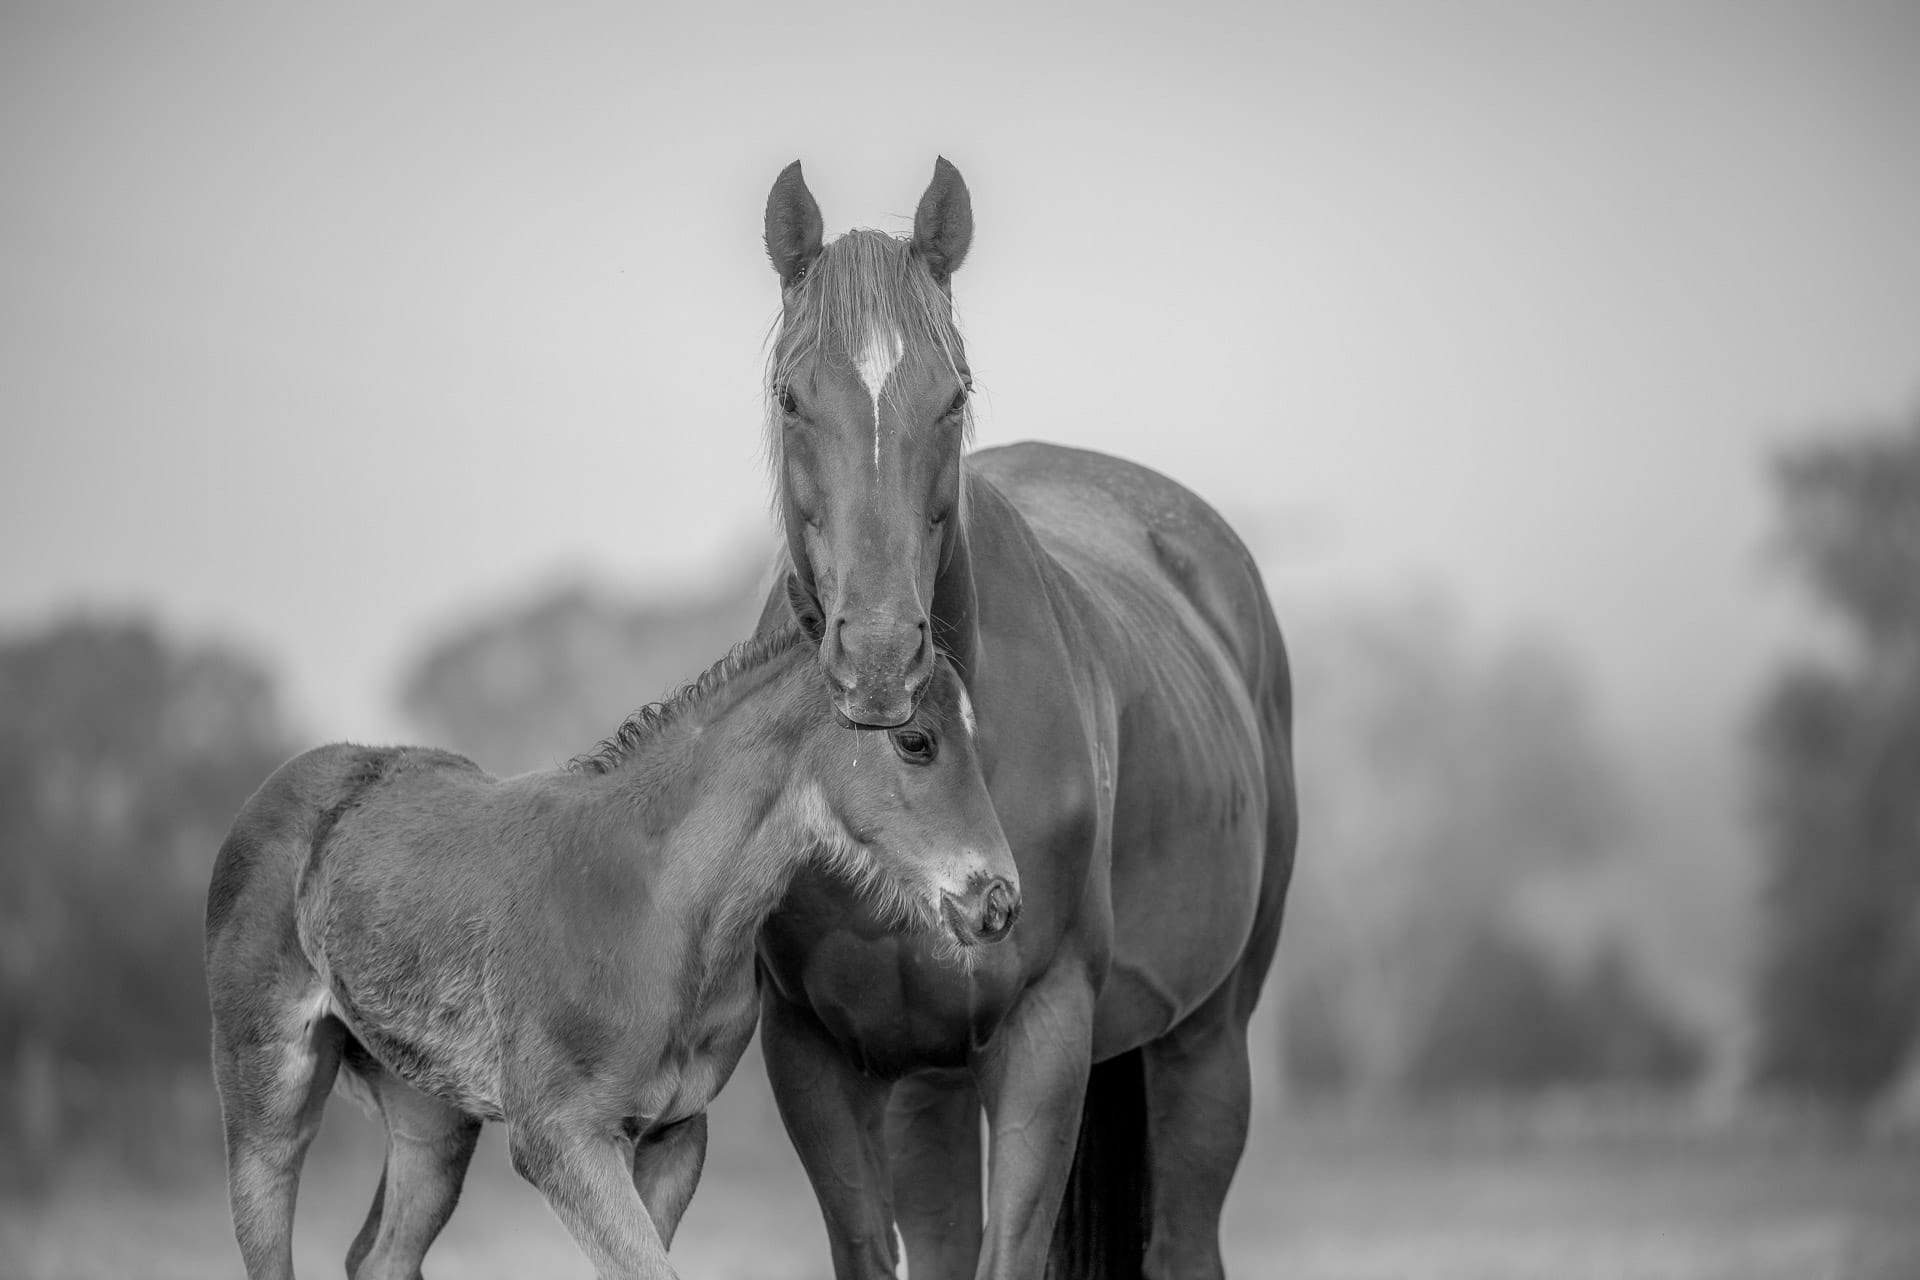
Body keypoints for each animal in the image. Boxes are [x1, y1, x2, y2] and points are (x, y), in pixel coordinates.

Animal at [204, 630, 1018, 1280]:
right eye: (916, 741)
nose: (1000, 902)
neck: (655, 911)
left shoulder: (673, 1137)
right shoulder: (561, 1139)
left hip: (430, 1118)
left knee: (381, 1257)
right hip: (268, 1095)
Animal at [752, 159, 1299, 1280]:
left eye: (952, 393)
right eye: (791, 396)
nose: (883, 657)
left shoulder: (1046, 1030)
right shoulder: (815, 1052)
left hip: (1207, 1037)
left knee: (1187, 1233)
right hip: (931, 1083)